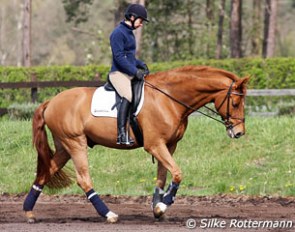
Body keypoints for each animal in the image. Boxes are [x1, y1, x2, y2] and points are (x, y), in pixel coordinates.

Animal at [22, 65, 250, 223]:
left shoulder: (169, 145)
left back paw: (29, 212)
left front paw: (158, 209)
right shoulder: (155, 145)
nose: (239, 132)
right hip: (75, 143)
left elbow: (161, 177)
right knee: (83, 179)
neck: (169, 98)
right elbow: (177, 173)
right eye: (235, 103)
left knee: (46, 172)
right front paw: (163, 206)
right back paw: (109, 214)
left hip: (64, 147)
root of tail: (51, 102)